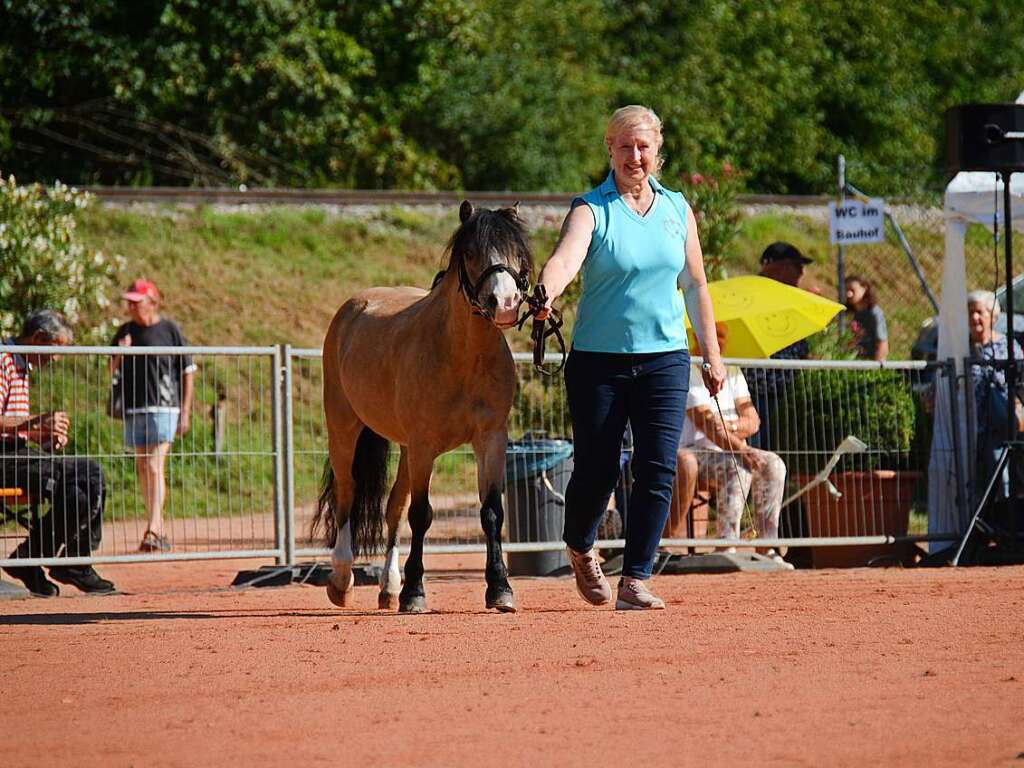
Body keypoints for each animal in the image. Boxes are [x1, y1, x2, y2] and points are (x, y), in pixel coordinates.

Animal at [311, 198, 532, 614]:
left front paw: (500, 589)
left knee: (392, 507)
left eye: (517, 252)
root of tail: (355, 306)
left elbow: (491, 512)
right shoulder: (425, 446)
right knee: (348, 494)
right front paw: (415, 593)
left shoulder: (490, 439)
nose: (505, 304)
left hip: (404, 448)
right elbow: (422, 514)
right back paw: (342, 580)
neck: (462, 357)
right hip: (344, 429)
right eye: (470, 251)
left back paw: (388, 588)